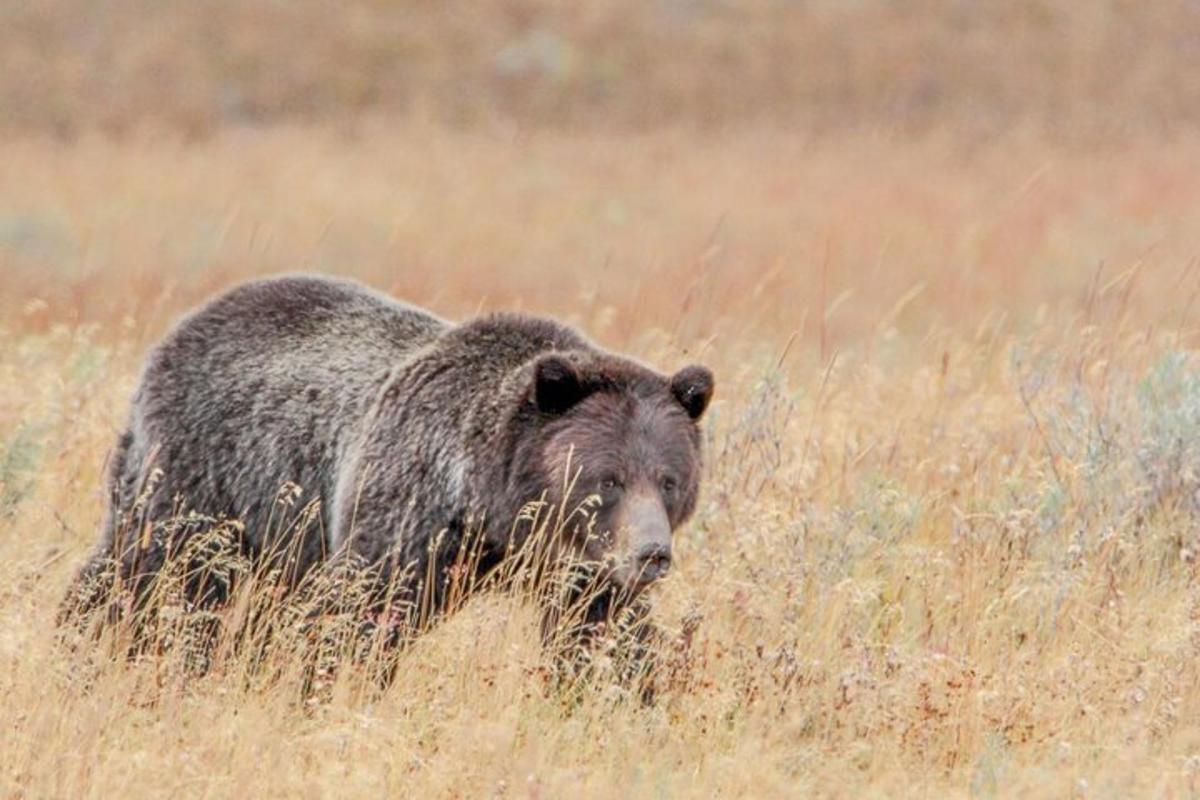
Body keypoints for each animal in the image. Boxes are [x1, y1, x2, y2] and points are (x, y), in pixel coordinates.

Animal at [63, 273, 710, 690]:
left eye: (669, 480)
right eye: (607, 479)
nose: (652, 553)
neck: (490, 505)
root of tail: (185, 327)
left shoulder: (576, 566)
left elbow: (604, 634)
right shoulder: (406, 510)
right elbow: (360, 615)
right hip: (204, 476)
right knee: (151, 572)